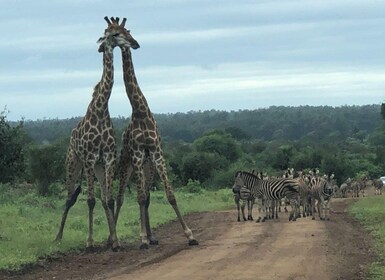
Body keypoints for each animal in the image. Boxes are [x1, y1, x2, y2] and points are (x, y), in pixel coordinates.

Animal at [54, 17, 138, 249]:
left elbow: (107, 199)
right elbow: (90, 200)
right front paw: (90, 242)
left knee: (100, 198)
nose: (135, 43)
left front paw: (115, 241)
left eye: (127, 31)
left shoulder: (107, 159)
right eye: (114, 34)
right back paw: (58, 237)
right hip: (73, 163)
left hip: (98, 168)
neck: (101, 110)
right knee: (68, 198)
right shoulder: (90, 158)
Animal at [109, 18, 200, 249]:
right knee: (122, 197)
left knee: (147, 196)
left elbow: (169, 195)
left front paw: (190, 235)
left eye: (127, 31)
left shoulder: (157, 154)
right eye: (117, 34)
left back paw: (151, 236)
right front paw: (141, 238)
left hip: (147, 166)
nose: (135, 43)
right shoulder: (138, 155)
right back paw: (114, 239)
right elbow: (139, 198)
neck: (141, 112)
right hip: (127, 163)